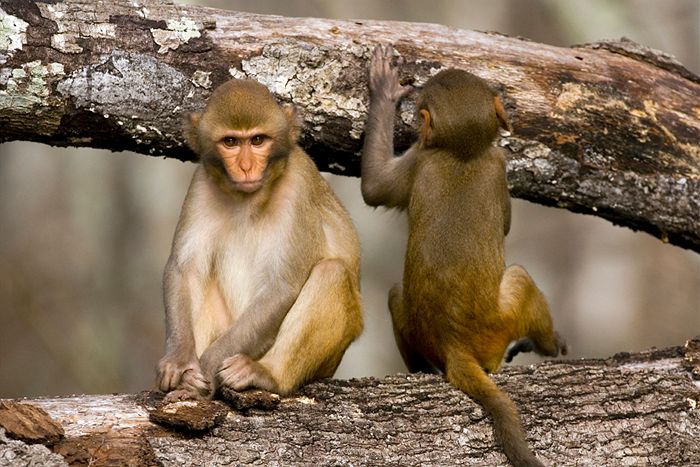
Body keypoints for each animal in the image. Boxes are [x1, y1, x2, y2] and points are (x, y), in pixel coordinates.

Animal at [156, 78, 363, 401]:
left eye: (257, 140)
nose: (245, 168)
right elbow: (184, 270)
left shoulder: (298, 187)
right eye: (230, 142)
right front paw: (179, 361)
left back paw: (267, 374)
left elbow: (282, 286)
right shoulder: (201, 184)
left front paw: (204, 371)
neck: (249, 198)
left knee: (332, 272)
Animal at [361, 45, 567, 467]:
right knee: (520, 277)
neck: (462, 154)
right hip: (499, 325)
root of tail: (454, 344)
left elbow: (373, 187)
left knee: (395, 294)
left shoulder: (421, 157)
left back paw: (423, 371)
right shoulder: (491, 164)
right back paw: (548, 345)